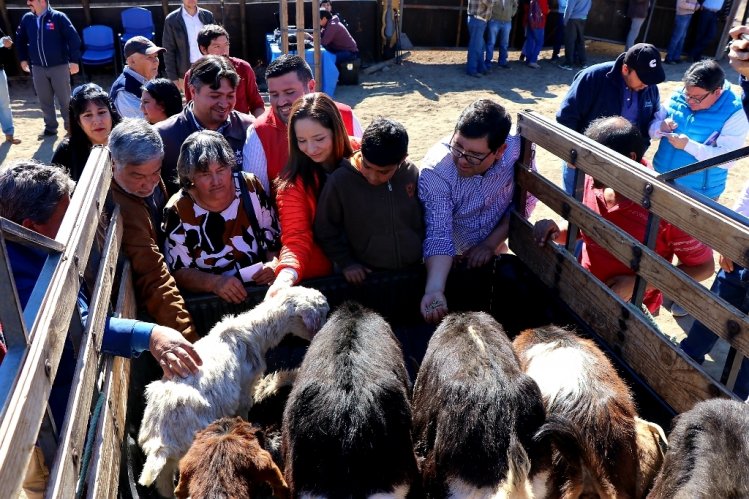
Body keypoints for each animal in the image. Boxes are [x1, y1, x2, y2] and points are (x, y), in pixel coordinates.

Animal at [139, 288, 328, 498]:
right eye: (322, 312)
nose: (321, 331)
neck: (253, 332)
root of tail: (161, 437)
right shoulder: (244, 388)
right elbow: (246, 406)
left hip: (167, 459)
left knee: (163, 481)